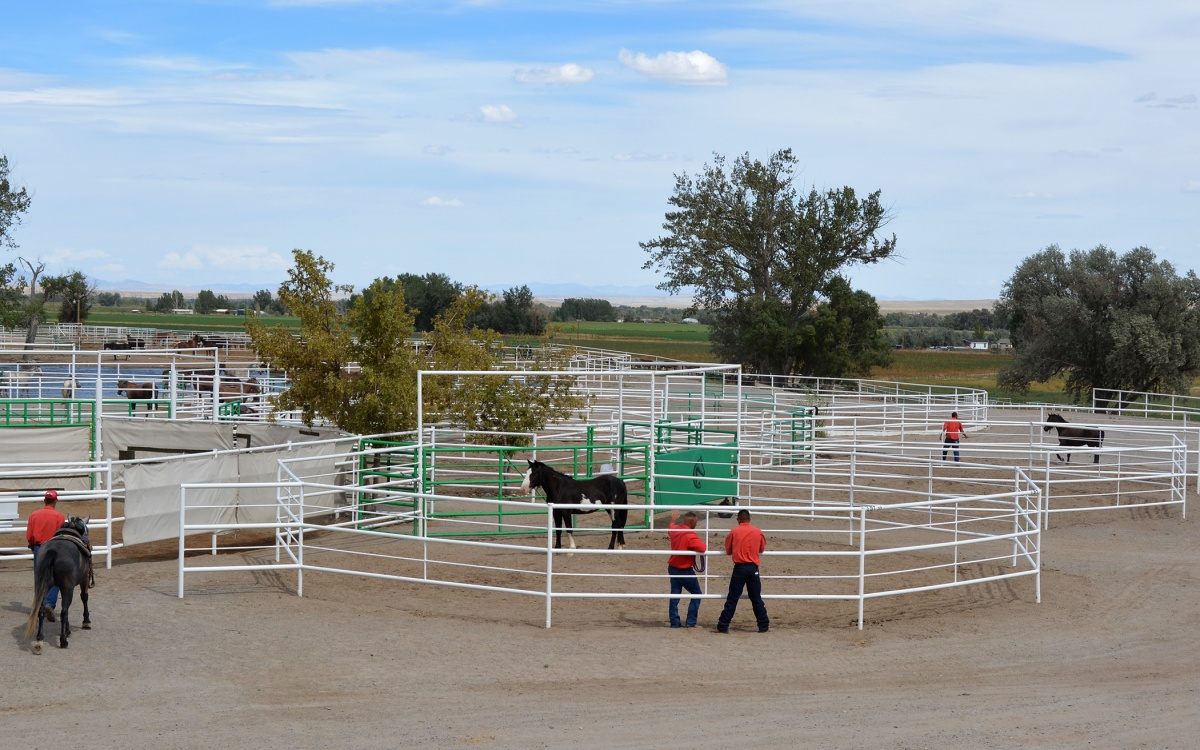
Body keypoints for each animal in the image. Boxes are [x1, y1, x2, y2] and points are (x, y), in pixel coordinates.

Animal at [25, 518, 93, 652]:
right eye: (86, 530)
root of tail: (53, 551)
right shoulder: (84, 579)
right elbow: (84, 597)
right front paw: (86, 621)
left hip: (43, 586)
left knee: (42, 610)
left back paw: (39, 640)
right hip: (68, 588)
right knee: (64, 611)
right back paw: (63, 641)